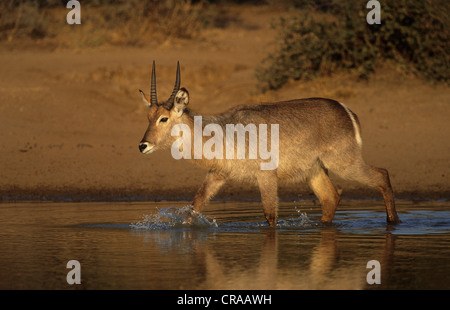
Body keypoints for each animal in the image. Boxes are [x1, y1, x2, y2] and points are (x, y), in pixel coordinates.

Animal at [138, 61, 400, 225]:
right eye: (148, 117)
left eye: (164, 118)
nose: (143, 146)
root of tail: (345, 110)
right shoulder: (217, 174)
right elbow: (195, 206)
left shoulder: (266, 176)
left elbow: (270, 216)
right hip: (315, 170)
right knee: (331, 198)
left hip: (344, 163)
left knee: (382, 175)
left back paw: (393, 222)